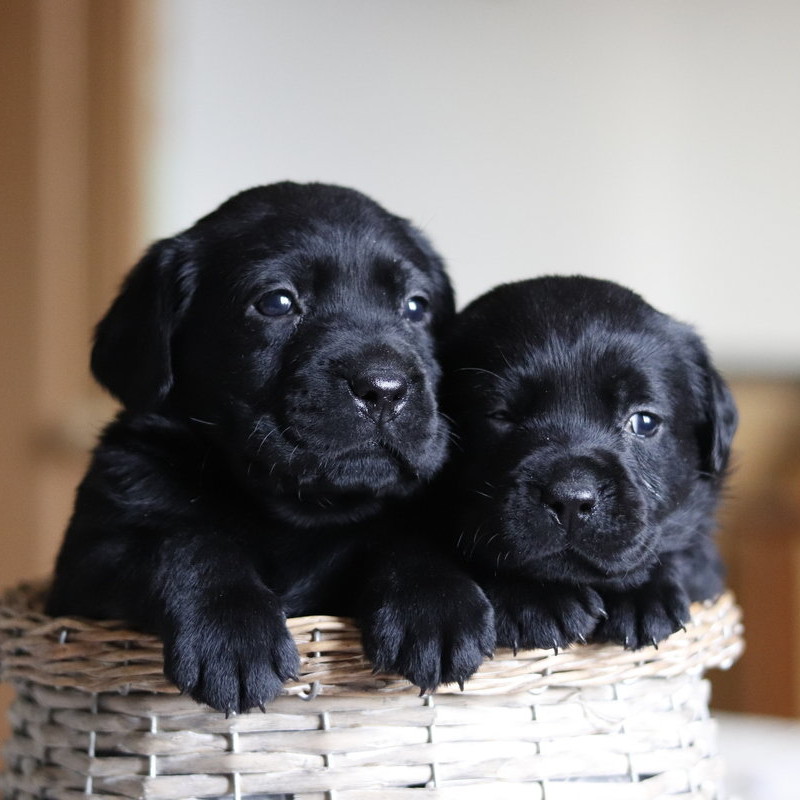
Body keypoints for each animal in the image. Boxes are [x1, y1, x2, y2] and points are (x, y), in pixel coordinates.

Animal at [48, 183, 494, 712]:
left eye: (415, 306)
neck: (295, 508)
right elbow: (185, 541)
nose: (385, 389)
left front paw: (437, 603)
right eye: (277, 302)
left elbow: (400, 536)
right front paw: (231, 635)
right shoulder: (88, 561)